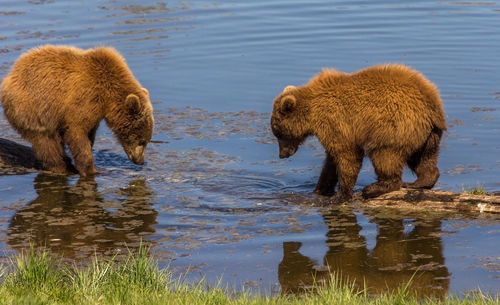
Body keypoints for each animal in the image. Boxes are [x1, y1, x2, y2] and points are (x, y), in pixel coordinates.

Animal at [0, 44, 154, 176]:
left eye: (146, 140)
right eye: (142, 140)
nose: (140, 161)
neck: (107, 96)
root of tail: (8, 78)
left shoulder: (95, 112)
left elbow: (89, 133)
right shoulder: (84, 99)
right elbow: (77, 132)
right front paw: (91, 170)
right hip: (32, 109)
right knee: (46, 142)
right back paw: (61, 167)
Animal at [272, 63, 448, 203]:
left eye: (278, 134)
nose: (282, 154)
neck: (312, 113)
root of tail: (432, 104)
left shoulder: (335, 123)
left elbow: (347, 156)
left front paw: (340, 195)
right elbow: (331, 161)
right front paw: (319, 189)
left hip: (393, 127)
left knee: (385, 155)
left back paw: (374, 188)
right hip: (426, 133)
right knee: (424, 156)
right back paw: (419, 182)